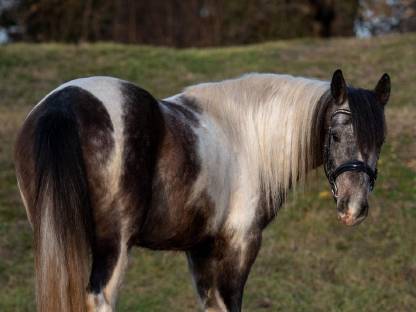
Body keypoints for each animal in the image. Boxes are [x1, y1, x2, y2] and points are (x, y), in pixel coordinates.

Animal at [13, 69, 390, 310]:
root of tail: (63, 104)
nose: (354, 208)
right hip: (114, 246)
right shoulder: (240, 246)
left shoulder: (200, 251)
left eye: (380, 141)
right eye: (336, 135)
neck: (248, 134)